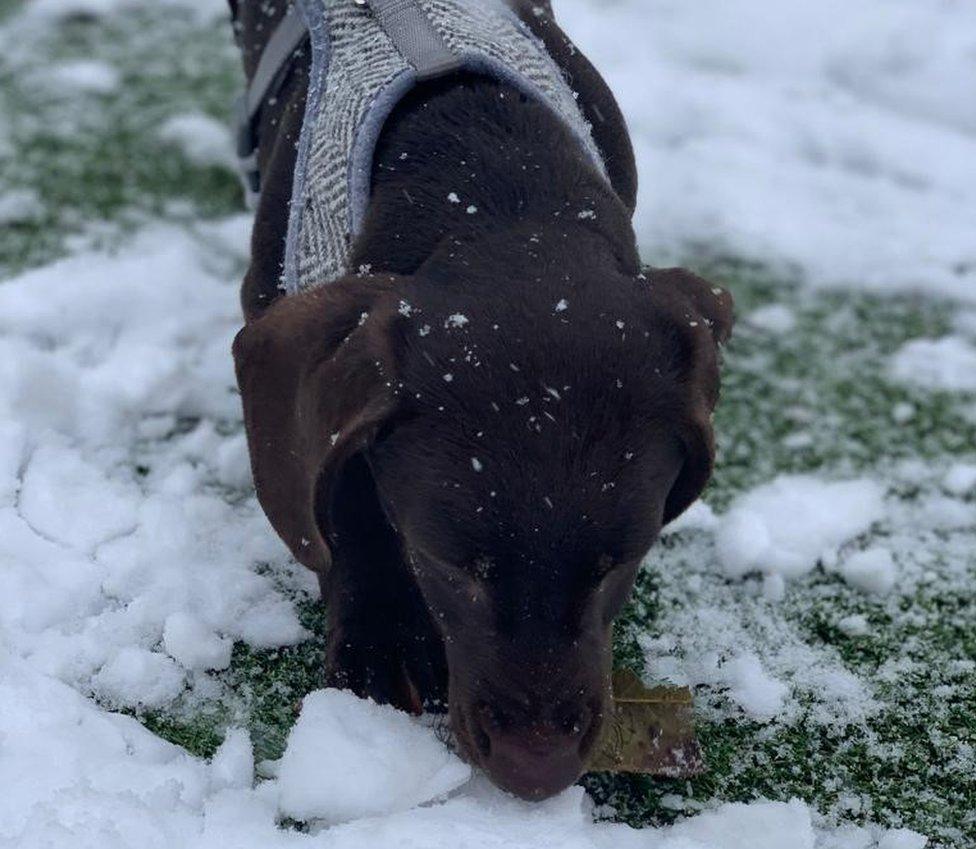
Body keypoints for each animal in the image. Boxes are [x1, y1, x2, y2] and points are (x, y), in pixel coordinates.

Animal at [229, 0, 732, 800]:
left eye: (618, 564)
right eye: (446, 564)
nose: (537, 772)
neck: (489, 180)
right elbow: (340, 493)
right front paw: (378, 639)